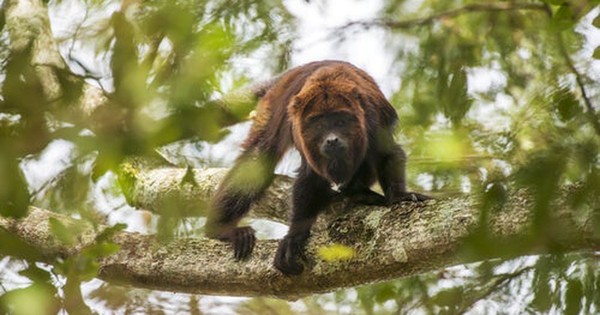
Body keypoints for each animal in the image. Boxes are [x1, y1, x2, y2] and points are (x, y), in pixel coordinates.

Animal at [206, 60, 432, 276]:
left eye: (341, 121)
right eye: (318, 124)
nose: (332, 140)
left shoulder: (372, 115)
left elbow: (387, 153)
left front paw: (400, 196)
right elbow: (309, 177)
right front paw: (295, 236)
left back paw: (357, 192)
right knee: (258, 156)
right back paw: (223, 231)